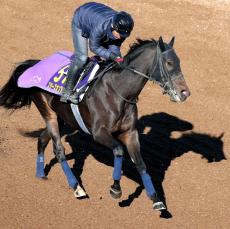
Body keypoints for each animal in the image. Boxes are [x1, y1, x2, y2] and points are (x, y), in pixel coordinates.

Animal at [0, 36, 190, 211]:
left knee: (42, 139)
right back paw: (76, 187)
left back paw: (40, 173)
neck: (119, 92)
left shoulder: (130, 133)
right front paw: (115, 189)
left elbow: (141, 163)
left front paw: (156, 199)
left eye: (179, 62)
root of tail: (36, 64)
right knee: (59, 150)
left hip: (62, 119)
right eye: (169, 62)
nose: (185, 93)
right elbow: (119, 151)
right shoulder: (99, 133)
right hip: (49, 114)